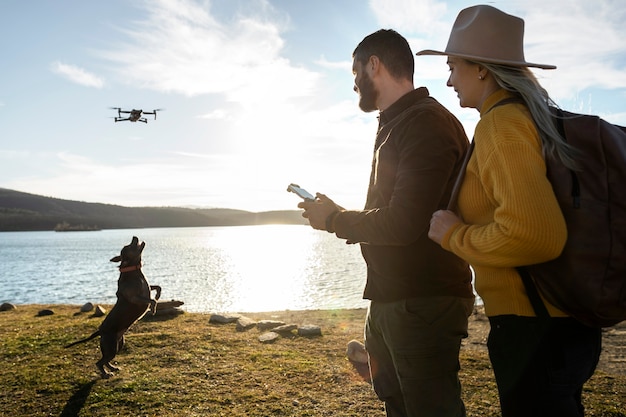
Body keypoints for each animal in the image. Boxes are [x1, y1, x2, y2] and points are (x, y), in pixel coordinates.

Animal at [65, 237, 161, 376]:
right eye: (128, 246)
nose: (134, 237)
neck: (133, 270)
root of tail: (101, 331)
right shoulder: (135, 298)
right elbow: (152, 300)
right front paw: (153, 309)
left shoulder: (147, 289)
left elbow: (158, 288)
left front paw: (158, 295)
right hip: (111, 346)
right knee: (99, 362)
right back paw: (105, 374)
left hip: (118, 344)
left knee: (105, 360)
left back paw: (112, 368)